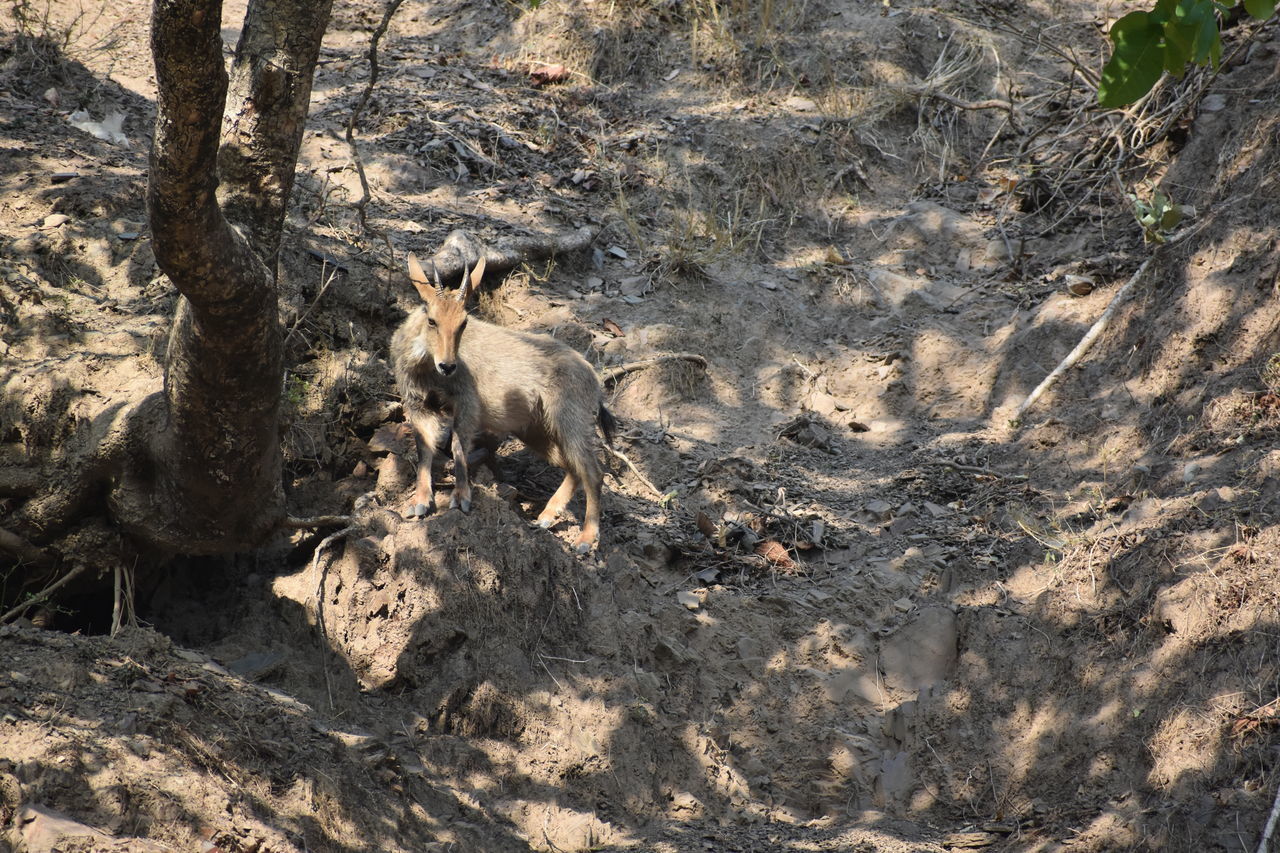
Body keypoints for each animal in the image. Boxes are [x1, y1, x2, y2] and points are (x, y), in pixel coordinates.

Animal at [389, 252, 614, 550]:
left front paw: (461, 498)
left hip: (570, 421)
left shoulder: (467, 405)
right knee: (573, 468)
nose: (448, 365)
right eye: (432, 320)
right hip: (536, 431)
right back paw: (545, 517)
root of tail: (594, 382)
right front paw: (421, 501)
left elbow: (458, 447)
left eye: (463, 322)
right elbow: (424, 449)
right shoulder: (419, 406)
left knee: (593, 472)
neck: (427, 370)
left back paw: (586, 538)